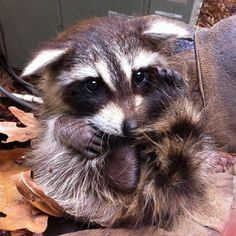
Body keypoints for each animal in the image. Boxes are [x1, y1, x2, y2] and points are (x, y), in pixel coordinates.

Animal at [21, 15, 214, 229]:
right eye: (93, 85)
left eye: (139, 76)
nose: (131, 127)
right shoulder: (48, 109)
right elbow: (50, 126)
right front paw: (69, 128)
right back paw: (121, 167)